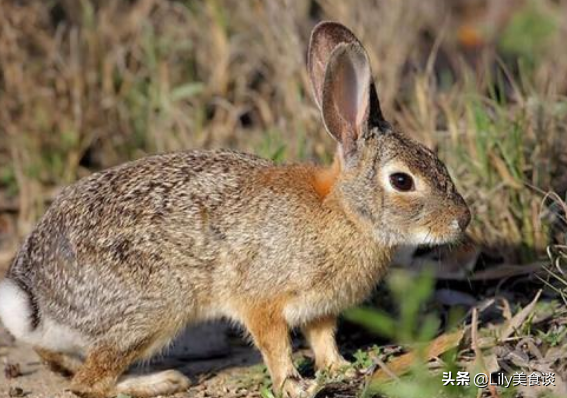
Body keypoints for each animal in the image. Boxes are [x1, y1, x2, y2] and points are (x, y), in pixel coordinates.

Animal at [0, 21, 470, 398]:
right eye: (402, 181)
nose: (461, 220)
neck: (345, 213)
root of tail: (35, 296)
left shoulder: (319, 309)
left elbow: (322, 338)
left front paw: (337, 368)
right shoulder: (261, 299)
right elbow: (275, 345)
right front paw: (294, 386)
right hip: (153, 309)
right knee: (88, 384)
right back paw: (160, 382)